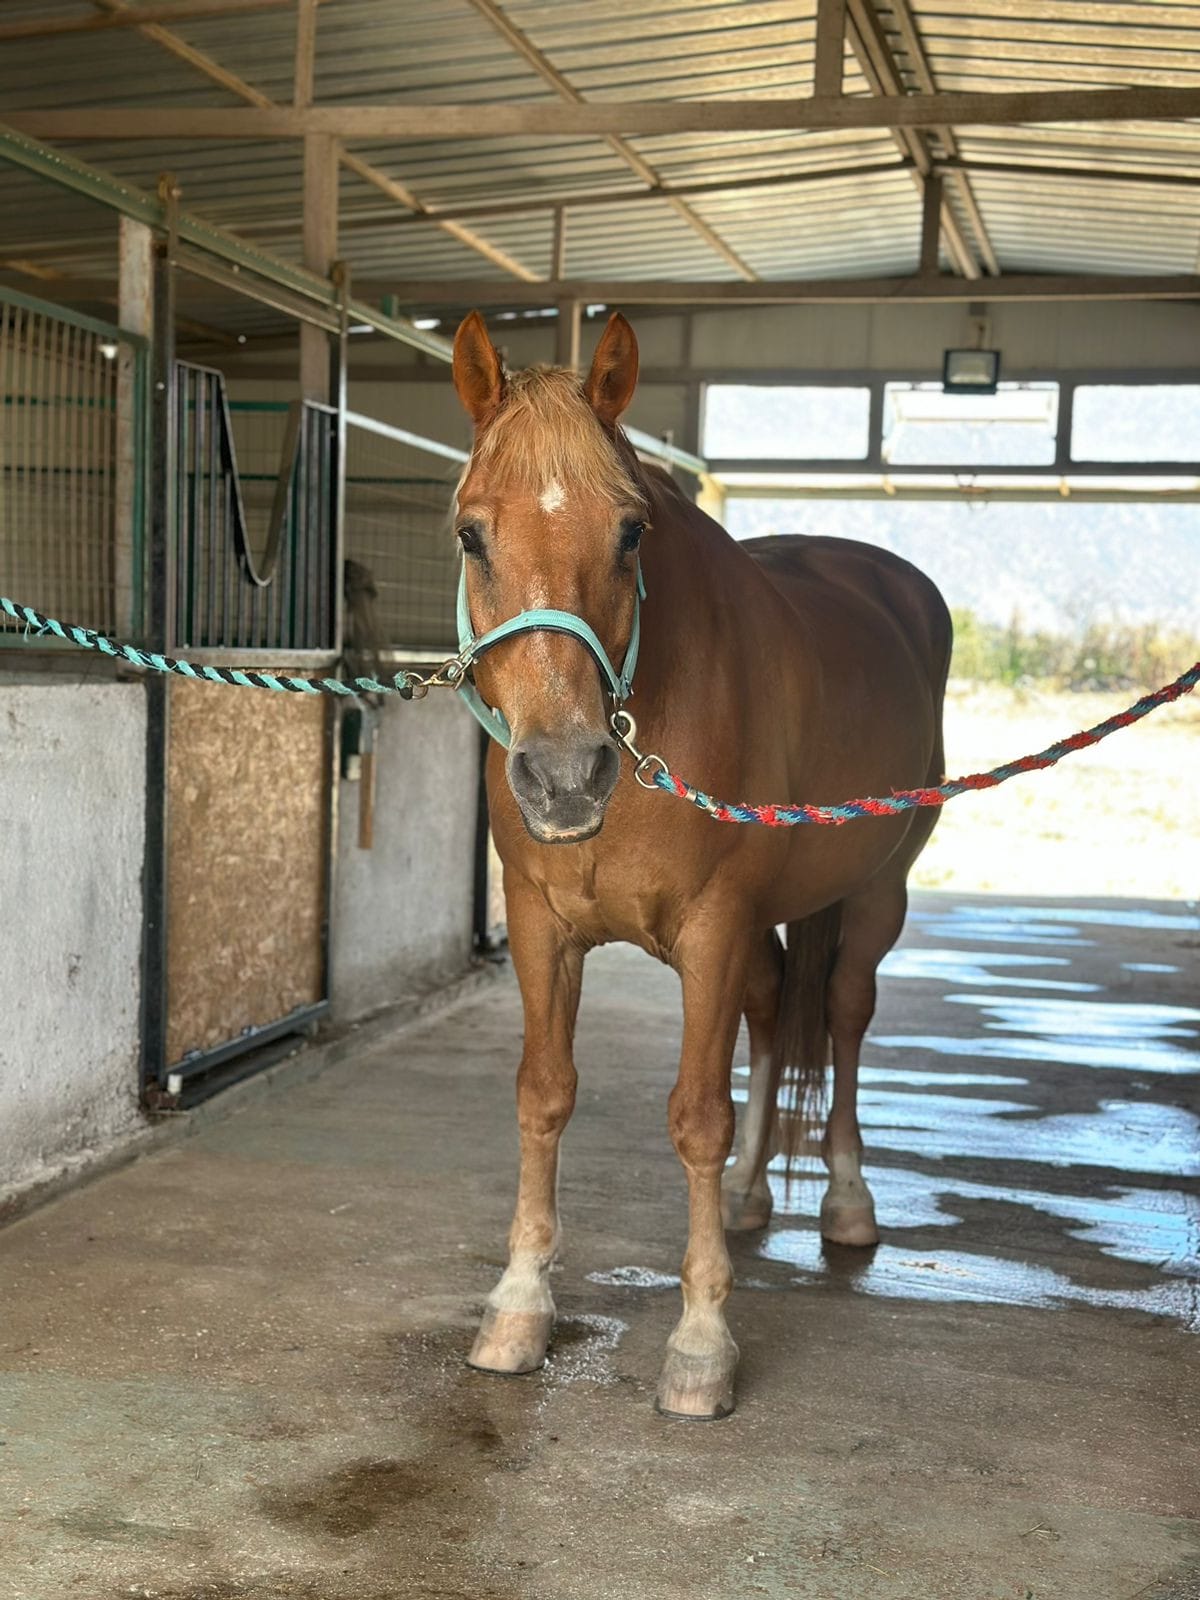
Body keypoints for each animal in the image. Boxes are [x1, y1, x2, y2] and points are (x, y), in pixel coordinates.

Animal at [450, 310, 951, 1420]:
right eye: (470, 532)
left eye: (632, 530)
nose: (565, 777)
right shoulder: (541, 923)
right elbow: (542, 1094)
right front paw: (516, 1308)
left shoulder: (715, 927)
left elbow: (695, 1117)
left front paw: (701, 1343)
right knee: (773, 1013)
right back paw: (752, 1194)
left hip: (875, 894)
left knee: (842, 1014)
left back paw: (846, 1200)